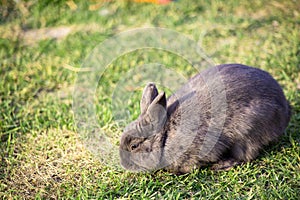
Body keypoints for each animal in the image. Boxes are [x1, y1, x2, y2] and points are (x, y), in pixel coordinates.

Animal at [119, 63, 290, 173]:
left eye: (134, 146)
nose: (123, 164)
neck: (165, 136)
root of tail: (284, 109)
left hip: (247, 132)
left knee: (246, 155)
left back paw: (222, 165)